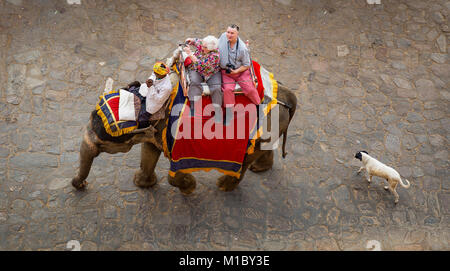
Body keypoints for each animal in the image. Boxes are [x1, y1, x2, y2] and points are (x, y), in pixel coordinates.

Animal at [72, 51, 298, 196]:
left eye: (101, 145)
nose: (81, 185)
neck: (143, 101)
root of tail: (287, 95)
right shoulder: (156, 130)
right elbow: (149, 151)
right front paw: (142, 183)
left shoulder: (178, 133)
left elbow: (177, 166)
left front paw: (190, 189)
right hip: (269, 128)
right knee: (261, 148)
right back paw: (259, 169)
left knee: (243, 162)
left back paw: (223, 186)